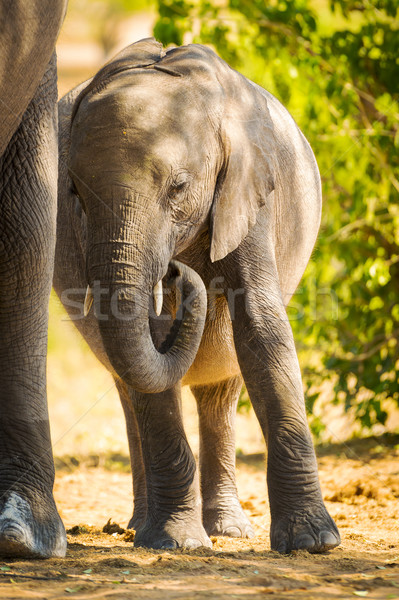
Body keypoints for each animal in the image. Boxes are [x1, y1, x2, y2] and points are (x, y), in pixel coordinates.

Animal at [53, 37, 340, 552]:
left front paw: (312, 542)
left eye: (179, 187)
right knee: (128, 384)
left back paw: (228, 529)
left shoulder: (248, 190)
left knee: (222, 388)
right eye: (75, 195)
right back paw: (140, 528)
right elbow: (147, 345)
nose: (173, 270)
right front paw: (177, 542)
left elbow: (262, 329)